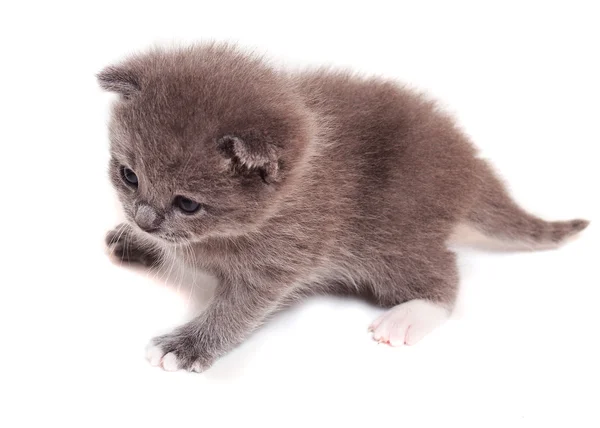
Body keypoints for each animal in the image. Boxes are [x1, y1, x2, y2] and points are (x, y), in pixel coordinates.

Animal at [98, 42, 592, 372]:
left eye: (187, 203)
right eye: (129, 176)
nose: (144, 219)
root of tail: (469, 164)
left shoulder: (285, 258)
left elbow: (237, 310)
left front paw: (188, 345)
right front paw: (135, 240)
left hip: (392, 241)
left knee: (446, 273)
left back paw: (409, 316)